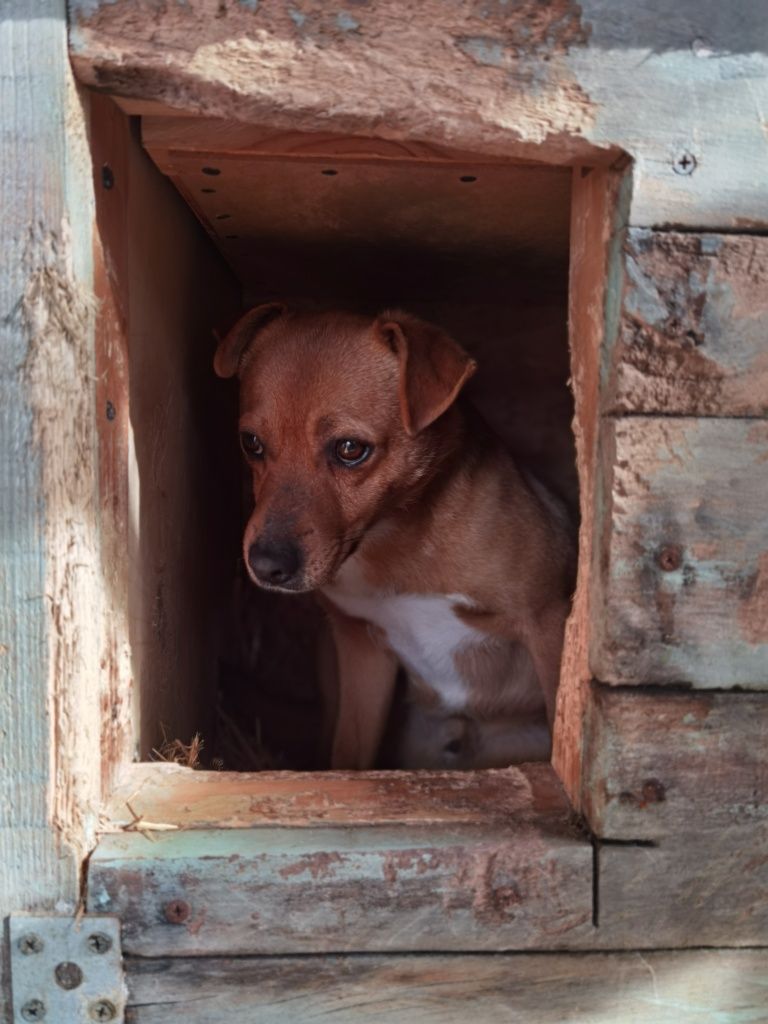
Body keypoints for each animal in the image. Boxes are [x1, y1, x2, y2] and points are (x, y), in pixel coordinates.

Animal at [214, 303, 573, 770]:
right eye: (251, 443)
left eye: (350, 449)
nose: (266, 565)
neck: (398, 543)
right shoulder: (362, 653)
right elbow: (348, 755)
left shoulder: (549, 625)